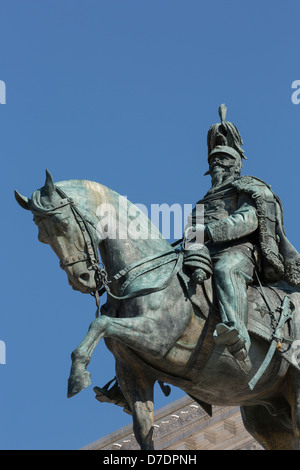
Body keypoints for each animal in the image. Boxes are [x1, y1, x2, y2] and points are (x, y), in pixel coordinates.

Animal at [14, 171, 300, 450]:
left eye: (62, 223)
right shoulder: (132, 371)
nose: (81, 279)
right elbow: (143, 430)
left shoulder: (158, 336)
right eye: (42, 237)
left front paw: (77, 376)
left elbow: (101, 323)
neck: (147, 273)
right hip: (264, 414)